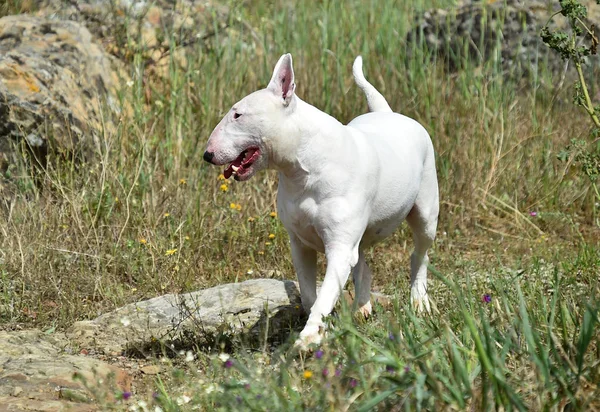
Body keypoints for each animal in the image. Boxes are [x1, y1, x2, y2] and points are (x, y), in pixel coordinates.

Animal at [204, 54, 438, 348]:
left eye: (238, 114)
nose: (207, 154)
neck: (305, 169)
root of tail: (387, 113)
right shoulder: (300, 243)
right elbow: (308, 293)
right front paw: (323, 325)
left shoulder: (339, 246)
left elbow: (326, 291)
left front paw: (309, 337)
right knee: (363, 264)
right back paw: (362, 307)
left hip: (426, 211)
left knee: (420, 254)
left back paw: (419, 301)